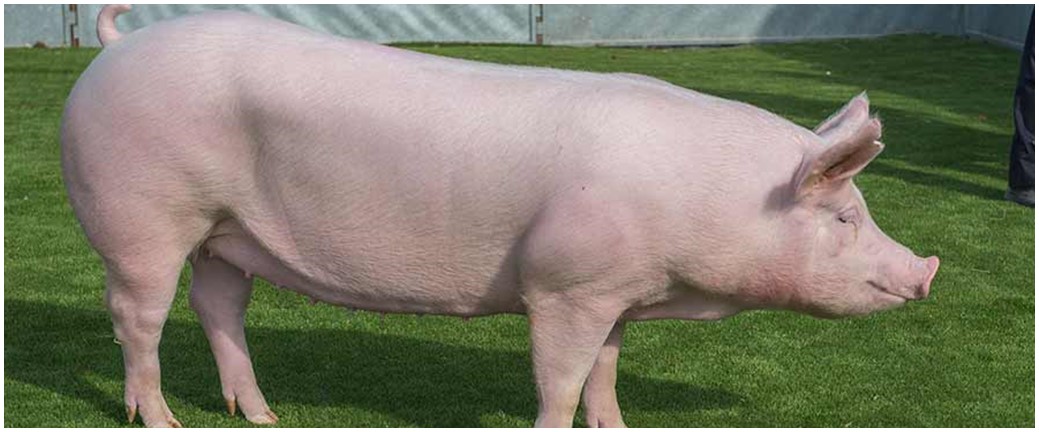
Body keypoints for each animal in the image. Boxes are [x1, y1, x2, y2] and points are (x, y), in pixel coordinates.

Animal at [61, 5, 939, 428]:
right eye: (844, 219)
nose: (927, 269)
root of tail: (114, 48)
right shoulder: (563, 285)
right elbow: (560, 382)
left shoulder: (614, 291)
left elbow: (604, 373)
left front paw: (616, 427)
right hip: (141, 214)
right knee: (136, 317)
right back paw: (163, 421)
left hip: (225, 233)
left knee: (217, 305)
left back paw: (264, 416)